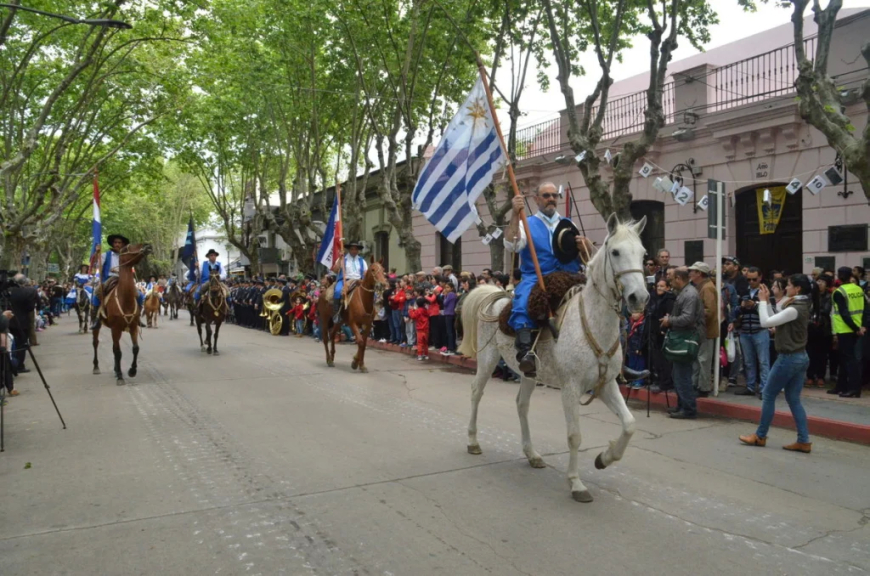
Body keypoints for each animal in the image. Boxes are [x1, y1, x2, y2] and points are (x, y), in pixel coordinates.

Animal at [93, 244, 153, 388]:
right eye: (127, 248)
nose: (147, 246)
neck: (125, 299)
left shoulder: (133, 327)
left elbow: (135, 348)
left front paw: (132, 371)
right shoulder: (115, 329)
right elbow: (118, 352)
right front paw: (120, 376)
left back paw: (116, 370)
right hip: (98, 325)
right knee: (96, 343)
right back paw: (96, 367)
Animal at [460, 214, 652, 502]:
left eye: (642, 253)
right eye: (616, 252)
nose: (638, 297)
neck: (593, 323)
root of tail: (498, 295)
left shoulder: (606, 384)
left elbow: (629, 424)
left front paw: (605, 458)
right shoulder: (571, 388)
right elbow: (574, 436)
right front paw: (576, 483)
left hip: (529, 372)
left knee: (521, 405)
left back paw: (532, 454)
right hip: (487, 360)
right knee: (475, 392)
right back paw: (473, 442)